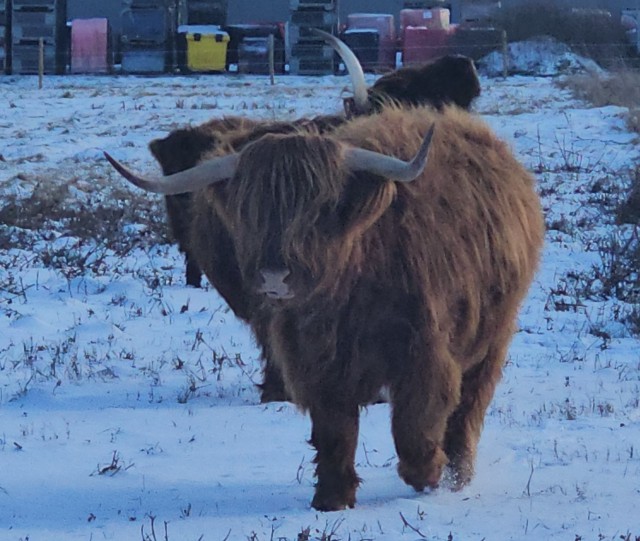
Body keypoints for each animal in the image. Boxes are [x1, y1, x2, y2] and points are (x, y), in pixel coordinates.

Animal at [106, 103, 545, 511]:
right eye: (250, 209)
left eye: (320, 208)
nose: (274, 277)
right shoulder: (314, 362)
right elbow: (335, 433)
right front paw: (332, 499)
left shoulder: (424, 356)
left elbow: (414, 425)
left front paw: (428, 474)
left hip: (493, 338)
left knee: (469, 407)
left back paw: (458, 472)